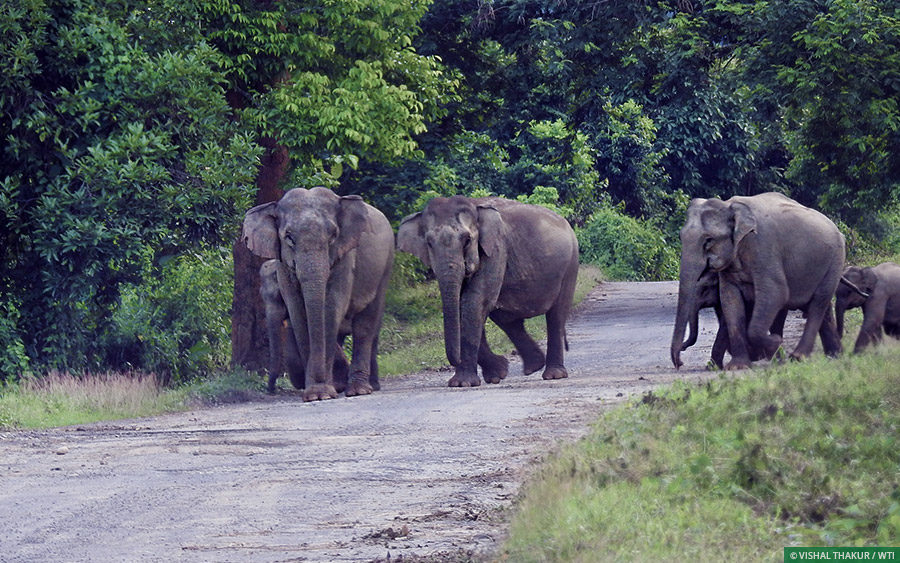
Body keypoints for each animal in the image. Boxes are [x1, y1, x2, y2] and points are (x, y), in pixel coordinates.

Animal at [243, 187, 394, 401]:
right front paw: (316, 393)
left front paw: (322, 393)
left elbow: (331, 308)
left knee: (365, 325)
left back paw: (360, 390)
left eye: (333, 235)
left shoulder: (345, 255)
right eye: (289, 237)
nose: (270, 390)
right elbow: (299, 314)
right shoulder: (283, 265)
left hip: (385, 266)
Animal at [397, 195, 579, 387]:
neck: (475, 206)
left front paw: (462, 383)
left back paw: (553, 375)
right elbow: (464, 306)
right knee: (506, 318)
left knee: (556, 314)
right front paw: (497, 373)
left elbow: (473, 303)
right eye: (429, 243)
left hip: (570, 264)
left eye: (467, 240)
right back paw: (533, 366)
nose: (454, 361)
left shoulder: (496, 249)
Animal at [671, 192, 845, 370]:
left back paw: (797, 357)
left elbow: (777, 293)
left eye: (709, 240)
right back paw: (834, 355)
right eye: (681, 237)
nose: (680, 362)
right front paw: (738, 366)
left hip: (835, 261)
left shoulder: (764, 247)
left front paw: (776, 343)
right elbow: (730, 300)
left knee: (818, 304)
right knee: (822, 307)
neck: (729, 206)